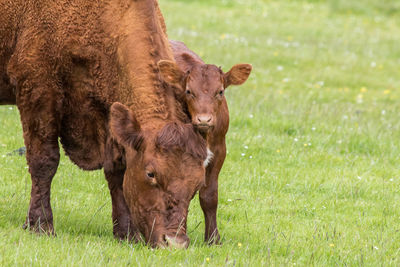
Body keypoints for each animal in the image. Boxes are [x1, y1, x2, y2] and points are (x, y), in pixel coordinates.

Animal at [1, 0, 209, 249]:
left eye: (197, 184)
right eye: (151, 174)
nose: (174, 242)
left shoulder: (110, 114)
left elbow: (117, 171)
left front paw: (127, 233)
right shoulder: (38, 91)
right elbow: (44, 161)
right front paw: (41, 225)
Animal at [158, 40, 252, 245]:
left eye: (220, 92)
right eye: (188, 91)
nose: (204, 119)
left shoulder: (219, 151)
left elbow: (209, 196)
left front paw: (213, 239)